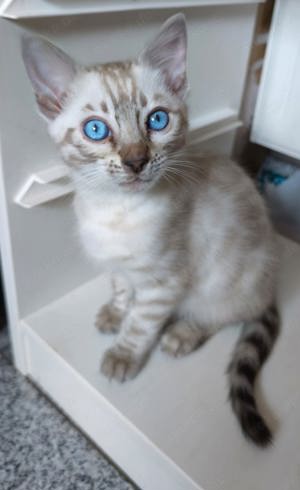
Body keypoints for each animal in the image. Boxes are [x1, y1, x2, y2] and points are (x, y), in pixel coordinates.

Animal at [22, 12, 278, 448]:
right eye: (96, 129)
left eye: (157, 120)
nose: (136, 160)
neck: (112, 210)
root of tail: (273, 282)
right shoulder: (119, 266)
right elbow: (121, 287)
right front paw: (113, 312)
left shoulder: (165, 281)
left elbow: (141, 323)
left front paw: (123, 354)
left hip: (226, 283)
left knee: (227, 312)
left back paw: (183, 333)